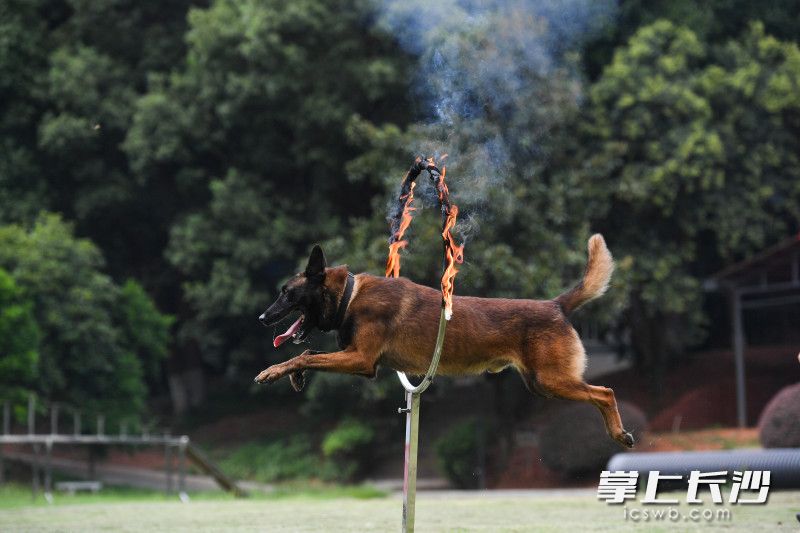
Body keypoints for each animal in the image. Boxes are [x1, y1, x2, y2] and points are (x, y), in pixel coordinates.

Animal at [255, 235, 632, 446]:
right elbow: (308, 351)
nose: (261, 318)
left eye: (286, 293)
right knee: (599, 393)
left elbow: (306, 354)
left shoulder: (360, 360)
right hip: (541, 384)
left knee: (606, 392)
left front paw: (274, 371)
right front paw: (293, 375)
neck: (350, 295)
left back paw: (618, 433)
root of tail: (555, 305)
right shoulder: (355, 356)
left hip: (552, 380)